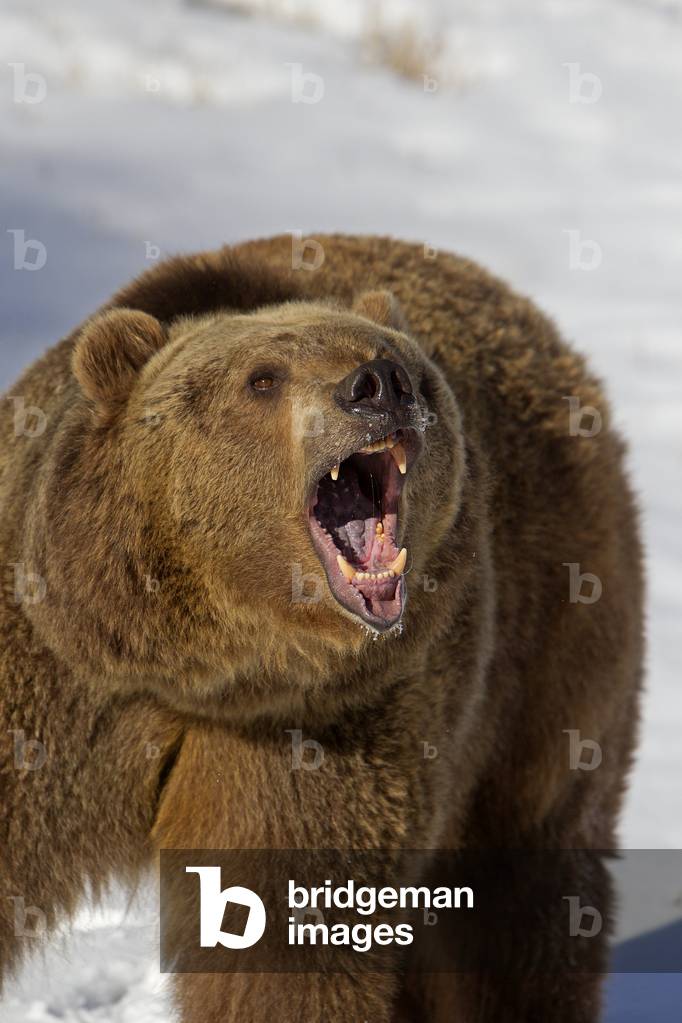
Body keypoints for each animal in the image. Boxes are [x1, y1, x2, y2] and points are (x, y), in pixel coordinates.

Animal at [0, 234, 643, 1021]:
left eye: (404, 367)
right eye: (262, 378)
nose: (381, 384)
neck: (201, 664)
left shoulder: (329, 727)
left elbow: (285, 950)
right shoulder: (50, 675)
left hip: (551, 640)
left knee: (523, 888)